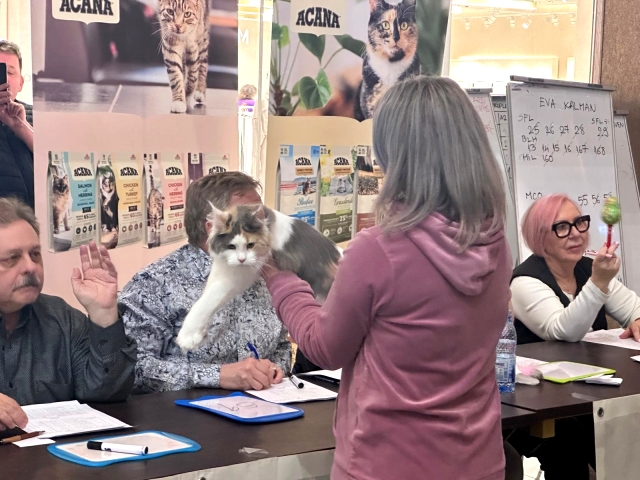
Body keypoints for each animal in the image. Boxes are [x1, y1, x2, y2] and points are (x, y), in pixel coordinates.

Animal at [176, 204, 341, 351]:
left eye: (250, 245)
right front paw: (199, 333)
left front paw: (187, 335)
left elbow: (208, 300)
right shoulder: (225, 270)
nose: (241, 259)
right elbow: (208, 296)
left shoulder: (242, 274)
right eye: (231, 246)